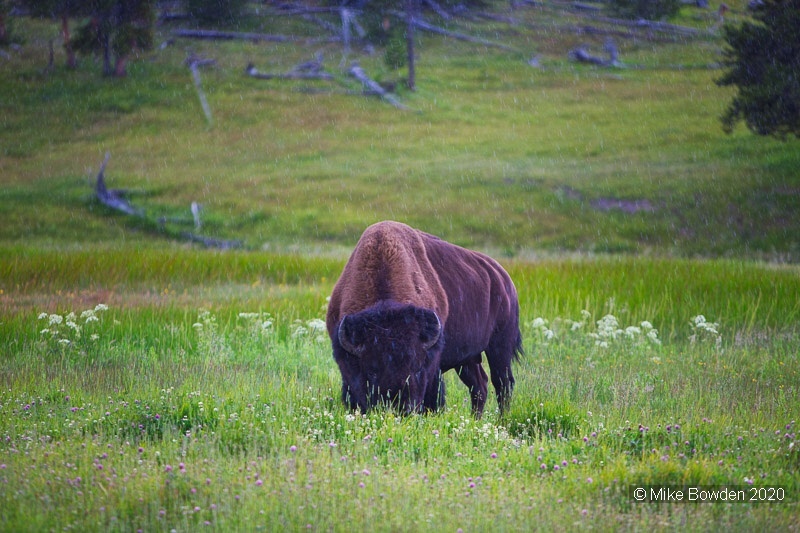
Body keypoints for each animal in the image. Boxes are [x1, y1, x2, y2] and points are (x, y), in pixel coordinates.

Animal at [326, 221, 522, 417]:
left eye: (417, 368)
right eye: (371, 370)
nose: (400, 406)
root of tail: (504, 279)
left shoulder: (433, 367)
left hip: (500, 346)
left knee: (503, 383)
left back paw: (502, 419)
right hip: (468, 358)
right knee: (480, 384)